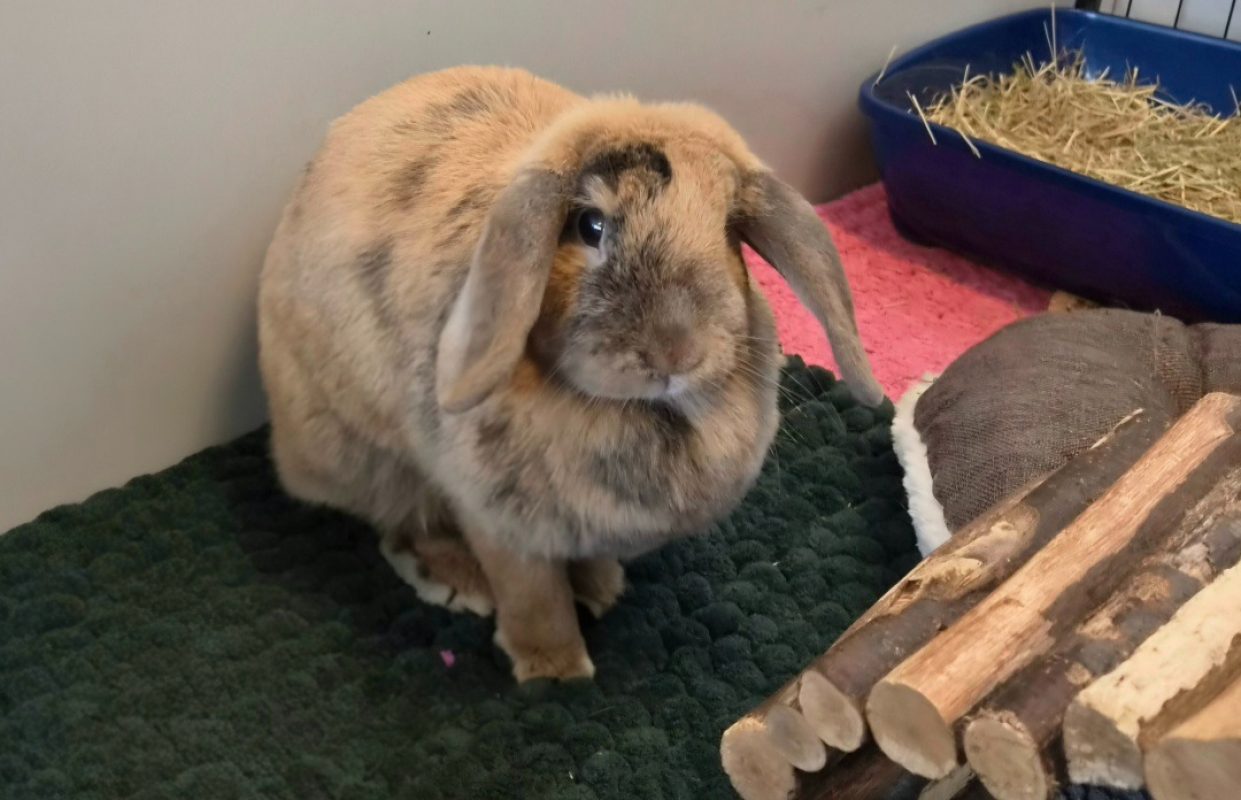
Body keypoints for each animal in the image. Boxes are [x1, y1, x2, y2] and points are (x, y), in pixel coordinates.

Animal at [257, 66, 883, 682]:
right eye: (590, 226)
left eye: (729, 231)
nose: (677, 352)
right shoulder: (498, 521)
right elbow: (533, 596)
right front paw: (555, 669)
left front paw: (602, 588)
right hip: (371, 456)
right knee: (402, 524)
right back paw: (460, 582)